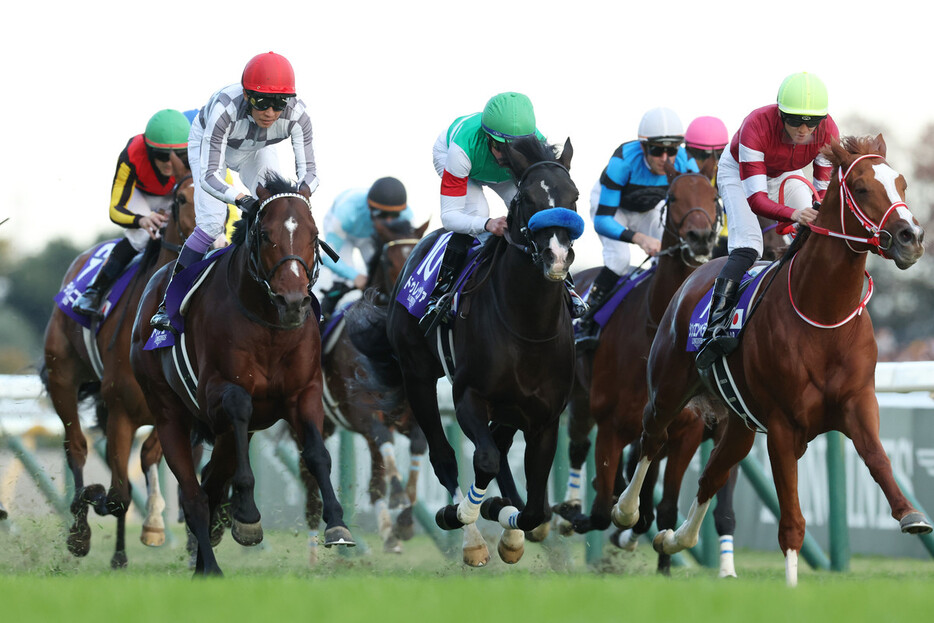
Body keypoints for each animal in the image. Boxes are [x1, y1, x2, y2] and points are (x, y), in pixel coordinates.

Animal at [41, 154, 193, 568]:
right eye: (182, 200)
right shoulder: (121, 408)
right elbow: (115, 493)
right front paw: (89, 505)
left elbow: (146, 459)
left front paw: (154, 524)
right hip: (62, 377)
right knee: (77, 447)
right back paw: (80, 530)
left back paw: (123, 550)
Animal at [135, 174, 358, 576]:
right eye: (266, 234)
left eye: (314, 234)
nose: (292, 301)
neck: (269, 325)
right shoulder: (218, 393)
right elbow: (240, 405)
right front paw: (248, 516)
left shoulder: (304, 391)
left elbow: (318, 454)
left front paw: (337, 523)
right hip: (167, 413)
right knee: (193, 494)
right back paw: (210, 567)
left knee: (210, 486)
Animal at [314, 217, 432, 560]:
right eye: (390, 261)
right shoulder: (363, 411)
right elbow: (385, 440)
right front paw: (398, 498)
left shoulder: (407, 415)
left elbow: (418, 445)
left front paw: (404, 521)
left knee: (375, 481)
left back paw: (389, 534)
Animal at [350, 136, 584, 564]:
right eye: (526, 197)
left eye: (573, 195)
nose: (557, 256)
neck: (527, 326)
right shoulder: (469, 396)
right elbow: (484, 459)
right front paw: (464, 514)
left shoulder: (545, 418)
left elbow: (536, 509)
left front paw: (506, 518)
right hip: (417, 377)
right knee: (445, 457)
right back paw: (471, 536)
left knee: (500, 451)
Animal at [616, 134, 932, 588]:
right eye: (861, 188)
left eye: (902, 184)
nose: (912, 237)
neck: (824, 315)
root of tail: (695, 276)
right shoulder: (784, 425)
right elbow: (792, 518)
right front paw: (792, 586)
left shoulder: (858, 403)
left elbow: (877, 458)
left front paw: (911, 515)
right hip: (668, 390)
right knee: (651, 438)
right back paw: (626, 514)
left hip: (740, 423)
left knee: (712, 475)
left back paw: (673, 538)